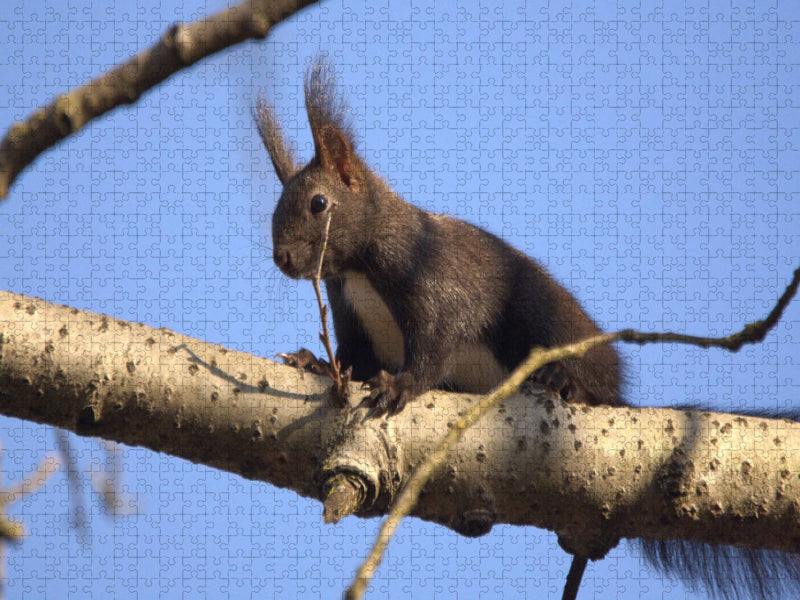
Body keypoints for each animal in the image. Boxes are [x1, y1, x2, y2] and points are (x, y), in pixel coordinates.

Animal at [255, 58, 800, 599]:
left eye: (319, 204)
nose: (282, 258)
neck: (358, 269)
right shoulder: (354, 320)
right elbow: (351, 359)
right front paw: (313, 362)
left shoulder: (433, 277)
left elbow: (437, 341)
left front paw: (401, 385)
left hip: (542, 314)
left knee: (582, 373)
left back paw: (566, 383)